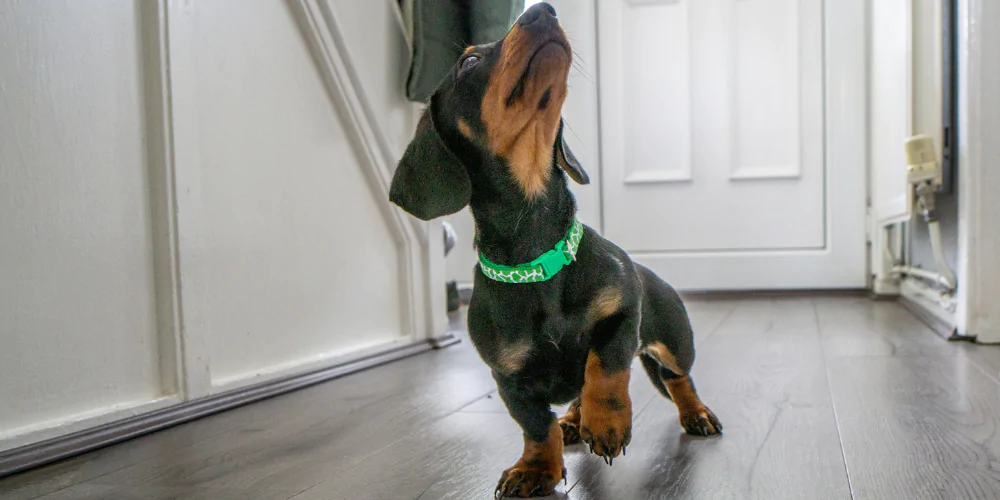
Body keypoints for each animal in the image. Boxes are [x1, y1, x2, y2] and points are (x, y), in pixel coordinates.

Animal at [388, 2, 720, 496]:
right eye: (468, 62)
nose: (543, 10)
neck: (538, 259)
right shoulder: (507, 378)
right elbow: (535, 425)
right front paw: (535, 468)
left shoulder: (622, 314)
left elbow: (604, 367)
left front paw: (608, 424)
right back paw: (574, 422)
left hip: (676, 340)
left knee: (679, 377)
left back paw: (693, 413)